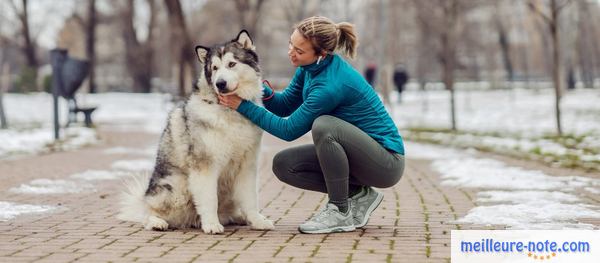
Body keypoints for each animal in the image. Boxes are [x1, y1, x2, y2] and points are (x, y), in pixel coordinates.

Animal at [116, 29, 274, 234]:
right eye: (214, 68)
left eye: (231, 64)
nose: (220, 83)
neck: (231, 113)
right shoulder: (205, 166)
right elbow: (209, 199)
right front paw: (212, 224)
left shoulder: (247, 166)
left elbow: (250, 199)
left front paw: (257, 220)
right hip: (178, 185)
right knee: (148, 212)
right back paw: (158, 222)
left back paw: (239, 218)